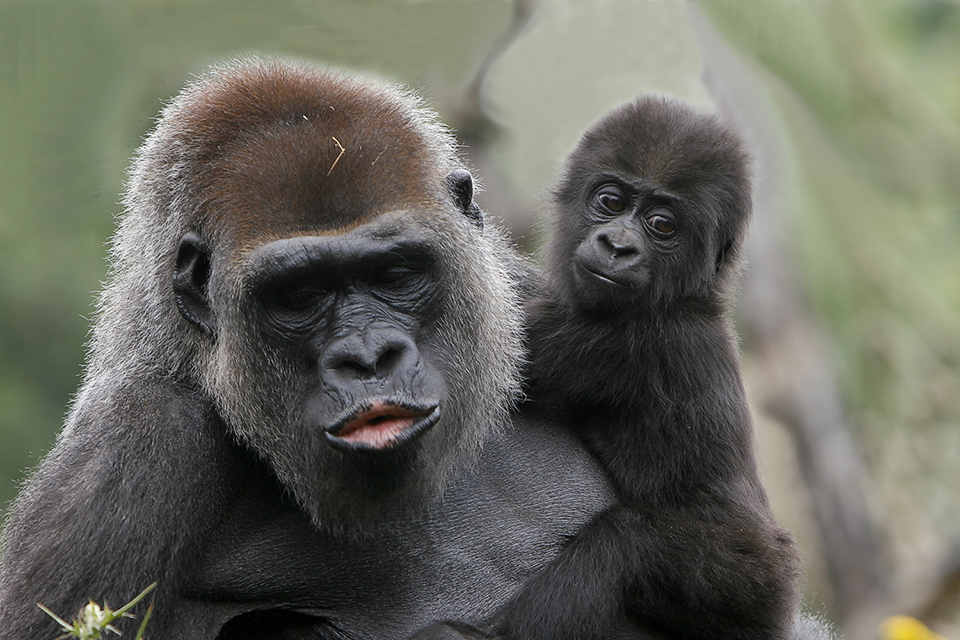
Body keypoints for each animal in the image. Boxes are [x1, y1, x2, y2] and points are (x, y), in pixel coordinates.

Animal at [502, 96, 804, 640]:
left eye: (663, 225)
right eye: (611, 201)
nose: (618, 246)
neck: (688, 297)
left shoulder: (637, 345)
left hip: (759, 583)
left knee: (626, 543)